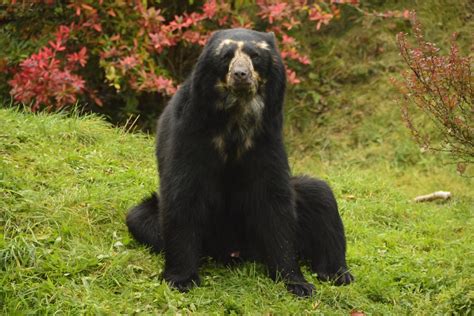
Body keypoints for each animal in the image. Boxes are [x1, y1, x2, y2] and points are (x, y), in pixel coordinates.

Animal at [126, 28, 352, 298]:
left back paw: (337, 273)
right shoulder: (190, 128)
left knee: (321, 196)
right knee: (141, 217)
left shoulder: (267, 134)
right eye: (226, 56)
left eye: (255, 56)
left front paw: (297, 283)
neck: (237, 112)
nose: (240, 75)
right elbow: (184, 192)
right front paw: (181, 279)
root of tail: (236, 250)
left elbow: (274, 198)